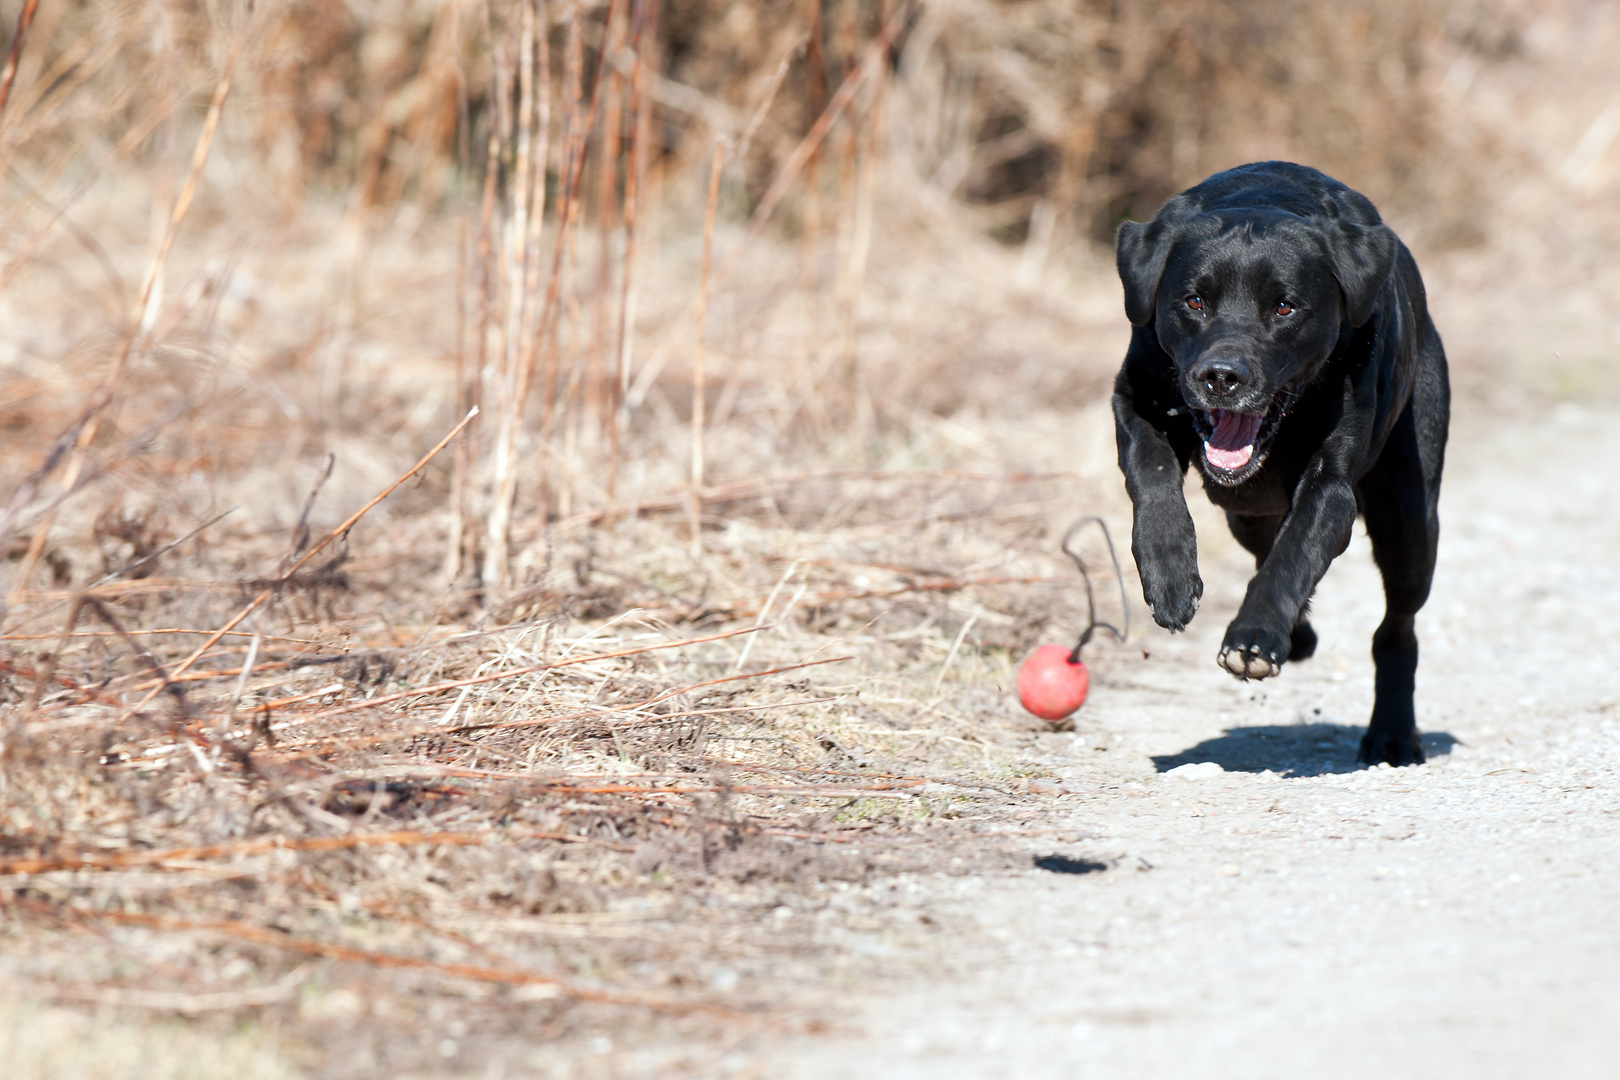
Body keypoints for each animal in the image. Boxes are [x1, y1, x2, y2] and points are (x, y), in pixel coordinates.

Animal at [1108, 162, 1451, 767]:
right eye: (1193, 302)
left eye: (1285, 307)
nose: (1221, 376)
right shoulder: (1134, 397)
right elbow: (1153, 477)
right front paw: (1169, 576)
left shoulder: (1331, 486)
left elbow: (1294, 556)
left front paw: (1253, 638)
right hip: (1244, 514)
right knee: (1262, 543)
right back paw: (1302, 635)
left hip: (1410, 522)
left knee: (1397, 628)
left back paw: (1391, 733)